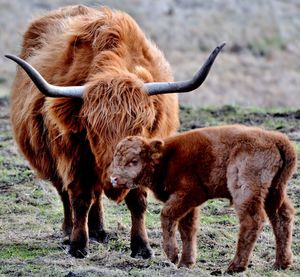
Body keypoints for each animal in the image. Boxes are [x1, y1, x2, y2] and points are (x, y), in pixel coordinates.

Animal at [6, 4, 225, 256]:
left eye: (141, 127)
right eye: (92, 128)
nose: (116, 176)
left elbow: (137, 201)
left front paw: (142, 247)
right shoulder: (73, 159)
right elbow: (80, 199)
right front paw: (78, 245)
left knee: (96, 194)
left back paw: (99, 231)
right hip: (51, 159)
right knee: (66, 194)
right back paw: (69, 231)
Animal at [109, 124, 296, 272]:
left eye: (134, 161)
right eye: (115, 158)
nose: (113, 178)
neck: (166, 158)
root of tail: (276, 139)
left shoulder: (189, 194)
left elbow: (167, 215)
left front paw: (173, 255)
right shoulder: (189, 204)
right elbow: (187, 229)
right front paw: (186, 263)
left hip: (245, 192)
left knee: (252, 221)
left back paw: (235, 267)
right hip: (274, 192)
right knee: (282, 216)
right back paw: (281, 263)